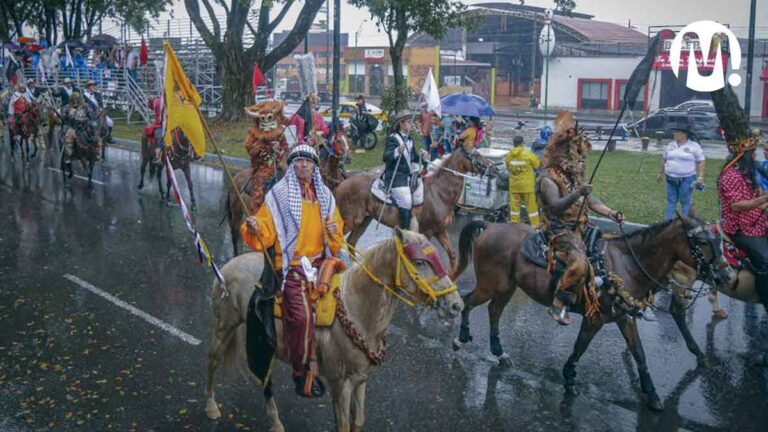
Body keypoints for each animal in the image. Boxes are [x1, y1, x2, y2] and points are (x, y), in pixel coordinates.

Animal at [204, 228, 462, 430]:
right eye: (420, 262)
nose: (456, 305)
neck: (356, 311)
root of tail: (226, 267)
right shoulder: (340, 383)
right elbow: (345, 425)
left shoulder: (360, 380)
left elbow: (357, 421)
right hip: (224, 326)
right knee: (214, 360)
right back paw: (212, 407)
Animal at [334, 149, 492, 274]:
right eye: (475, 155)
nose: (494, 168)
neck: (439, 192)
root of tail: (341, 185)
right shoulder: (427, 231)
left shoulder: (440, 231)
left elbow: (452, 254)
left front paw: (452, 276)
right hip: (349, 220)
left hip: (363, 221)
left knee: (351, 241)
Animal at [452, 216, 736, 412]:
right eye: (701, 242)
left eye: (720, 241)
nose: (727, 276)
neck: (627, 264)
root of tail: (490, 225)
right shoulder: (595, 318)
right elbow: (580, 346)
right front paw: (569, 377)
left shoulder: (624, 317)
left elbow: (639, 354)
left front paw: (652, 395)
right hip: (492, 285)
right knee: (467, 302)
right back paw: (461, 337)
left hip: (507, 287)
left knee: (493, 311)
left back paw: (499, 352)